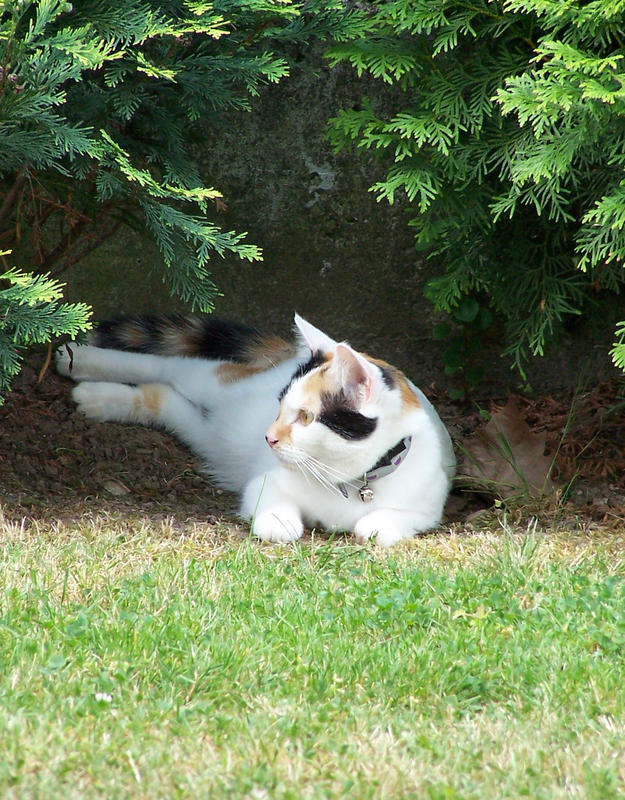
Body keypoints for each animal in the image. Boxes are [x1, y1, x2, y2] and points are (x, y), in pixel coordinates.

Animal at [56, 312, 456, 544]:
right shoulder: (266, 480)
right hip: (215, 385)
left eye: (306, 417)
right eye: (281, 405)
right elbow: (273, 511)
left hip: (211, 434)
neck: (351, 481)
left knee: (164, 398)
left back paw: (100, 398)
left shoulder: (429, 508)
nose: (269, 437)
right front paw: (279, 521)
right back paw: (78, 361)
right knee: (168, 369)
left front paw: (375, 524)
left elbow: (378, 528)